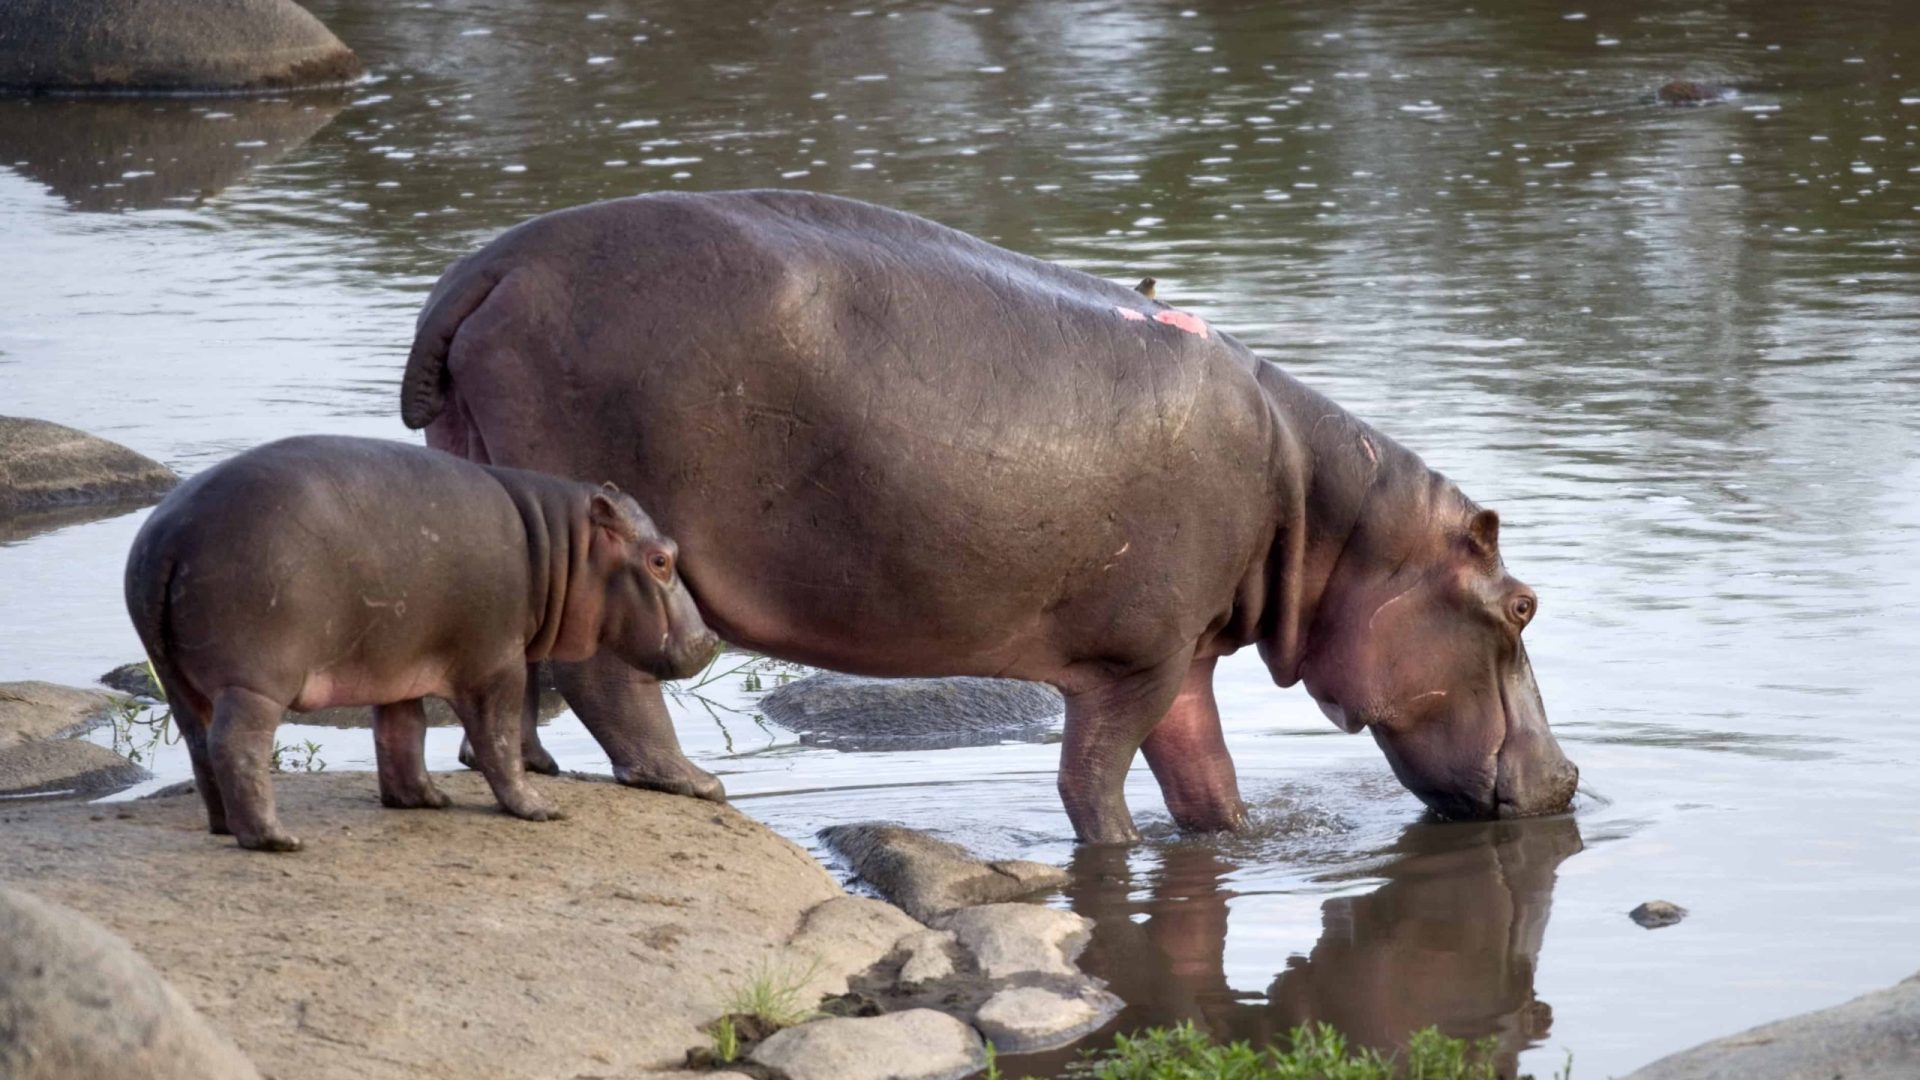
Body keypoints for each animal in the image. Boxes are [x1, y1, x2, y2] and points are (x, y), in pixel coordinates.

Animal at [124, 435, 717, 851]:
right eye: (660, 559)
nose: (710, 640)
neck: (560, 544)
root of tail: (166, 537)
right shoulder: (496, 664)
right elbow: (498, 740)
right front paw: (539, 809)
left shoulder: (400, 665)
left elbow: (402, 733)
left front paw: (425, 800)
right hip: (255, 683)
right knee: (237, 746)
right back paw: (276, 840)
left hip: (176, 678)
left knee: (199, 743)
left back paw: (223, 827)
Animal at [399, 190, 1579, 843]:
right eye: (1522, 605)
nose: (1569, 780)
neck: (1335, 522)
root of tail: (483, 267)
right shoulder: (1134, 662)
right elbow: (1092, 785)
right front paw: (1117, 846)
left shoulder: (1187, 656)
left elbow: (1208, 782)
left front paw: (1230, 842)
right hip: (610, 530)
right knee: (607, 676)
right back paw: (692, 782)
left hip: (497, 493)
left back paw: (536, 770)